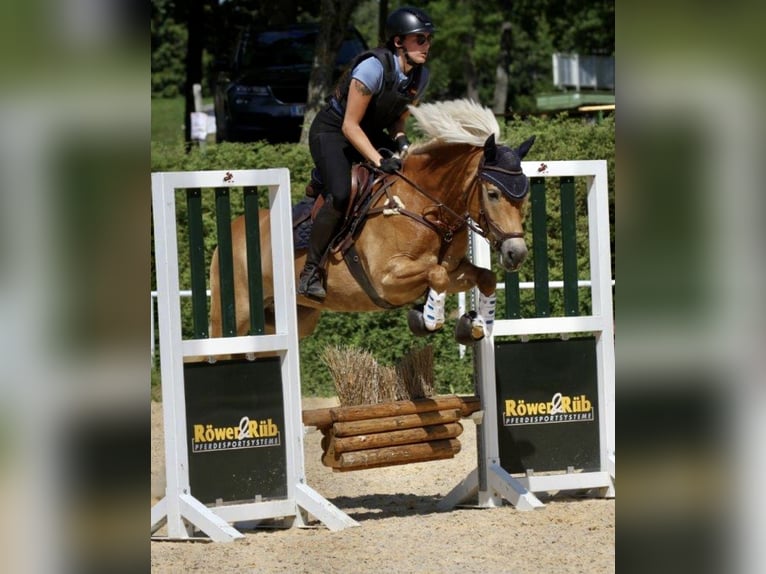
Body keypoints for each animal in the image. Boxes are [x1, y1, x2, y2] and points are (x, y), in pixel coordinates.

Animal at [208, 98, 536, 346]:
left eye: (524, 195)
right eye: (493, 194)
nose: (516, 253)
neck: (425, 205)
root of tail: (229, 236)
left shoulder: (455, 270)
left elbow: (481, 276)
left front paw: (476, 325)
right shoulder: (387, 278)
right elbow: (437, 274)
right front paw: (429, 319)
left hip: (294, 319)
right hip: (236, 313)